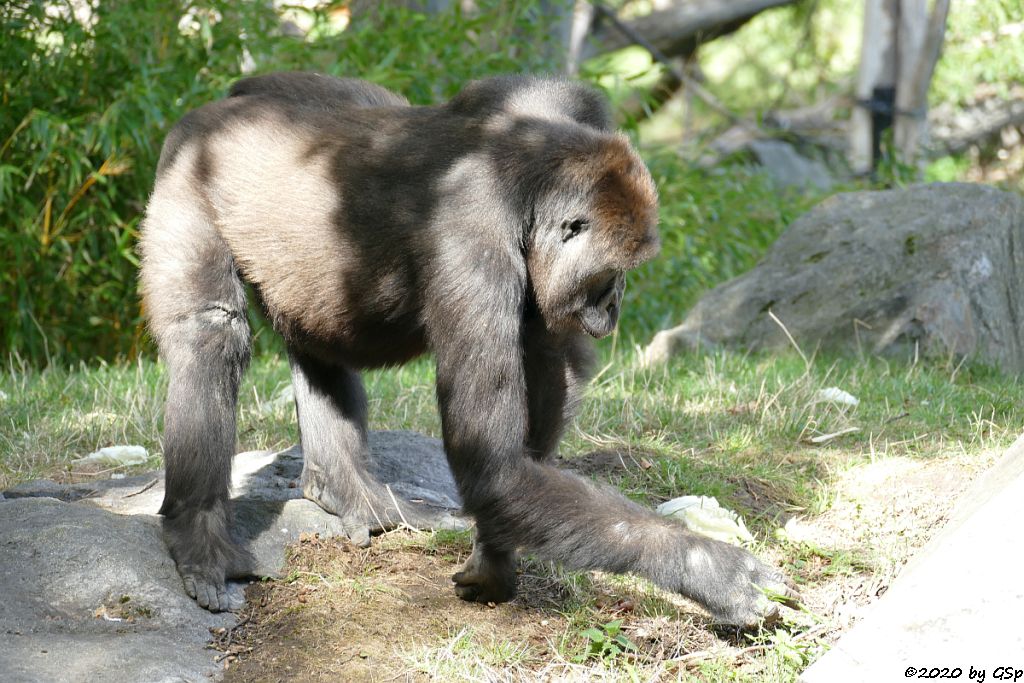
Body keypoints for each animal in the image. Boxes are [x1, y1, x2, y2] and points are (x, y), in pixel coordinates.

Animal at [138, 72, 790, 626]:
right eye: (613, 275)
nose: (614, 309)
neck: (525, 175)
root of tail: (218, 106)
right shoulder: (471, 242)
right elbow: (491, 461)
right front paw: (707, 567)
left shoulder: (563, 105)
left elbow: (549, 370)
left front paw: (494, 553)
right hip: (186, 168)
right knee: (211, 332)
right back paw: (199, 535)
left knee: (317, 331)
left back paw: (349, 491)